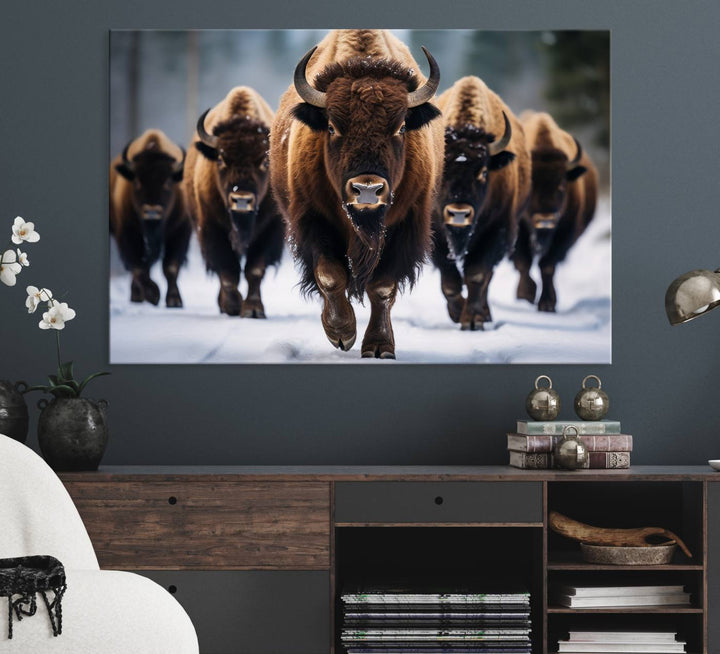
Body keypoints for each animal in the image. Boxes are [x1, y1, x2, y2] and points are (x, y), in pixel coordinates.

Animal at [109, 133, 188, 310]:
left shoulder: (179, 231)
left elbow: (170, 267)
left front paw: (174, 301)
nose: (152, 211)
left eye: (168, 182)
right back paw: (137, 296)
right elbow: (138, 267)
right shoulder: (127, 233)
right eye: (137, 181)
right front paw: (153, 295)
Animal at [183, 88, 284, 320]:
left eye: (265, 161)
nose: (242, 199)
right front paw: (232, 306)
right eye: (221, 159)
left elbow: (254, 270)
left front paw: (253, 309)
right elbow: (228, 270)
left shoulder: (270, 230)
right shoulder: (212, 229)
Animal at [270, 29, 444, 358]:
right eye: (331, 127)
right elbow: (330, 275)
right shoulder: (313, 220)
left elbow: (382, 287)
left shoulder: (405, 226)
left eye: (401, 127)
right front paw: (342, 333)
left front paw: (379, 346)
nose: (367, 189)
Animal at [430, 78, 532, 334]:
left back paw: (484, 314)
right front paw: (457, 313)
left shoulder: (495, 231)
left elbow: (477, 275)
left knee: (486, 278)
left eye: (484, 172)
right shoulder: (437, 236)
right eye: (442, 170)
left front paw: (473, 320)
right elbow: (450, 281)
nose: (459, 213)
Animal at [512, 112, 600, 312]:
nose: (546, 220)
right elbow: (523, 262)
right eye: (531, 186)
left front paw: (547, 303)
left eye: (561, 186)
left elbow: (547, 266)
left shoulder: (563, 233)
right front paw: (526, 295)